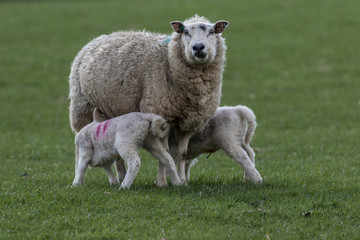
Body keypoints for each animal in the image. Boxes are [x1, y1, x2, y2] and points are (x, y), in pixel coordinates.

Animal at [69, 14, 229, 184]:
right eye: (185, 32)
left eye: (212, 31)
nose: (198, 47)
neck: (169, 62)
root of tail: (100, 38)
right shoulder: (162, 115)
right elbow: (165, 152)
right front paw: (162, 182)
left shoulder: (190, 123)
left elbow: (182, 154)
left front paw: (182, 181)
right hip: (82, 108)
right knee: (79, 146)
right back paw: (79, 179)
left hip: (110, 113)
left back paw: (121, 176)